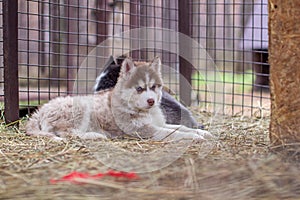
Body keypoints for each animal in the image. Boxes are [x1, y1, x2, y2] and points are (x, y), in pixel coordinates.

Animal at [27, 56, 212, 141]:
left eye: (153, 87)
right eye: (139, 88)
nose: (151, 101)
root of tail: (39, 111)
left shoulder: (160, 123)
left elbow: (180, 127)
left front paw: (201, 132)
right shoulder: (145, 130)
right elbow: (173, 132)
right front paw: (195, 137)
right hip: (78, 111)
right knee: (68, 133)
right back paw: (95, 135)